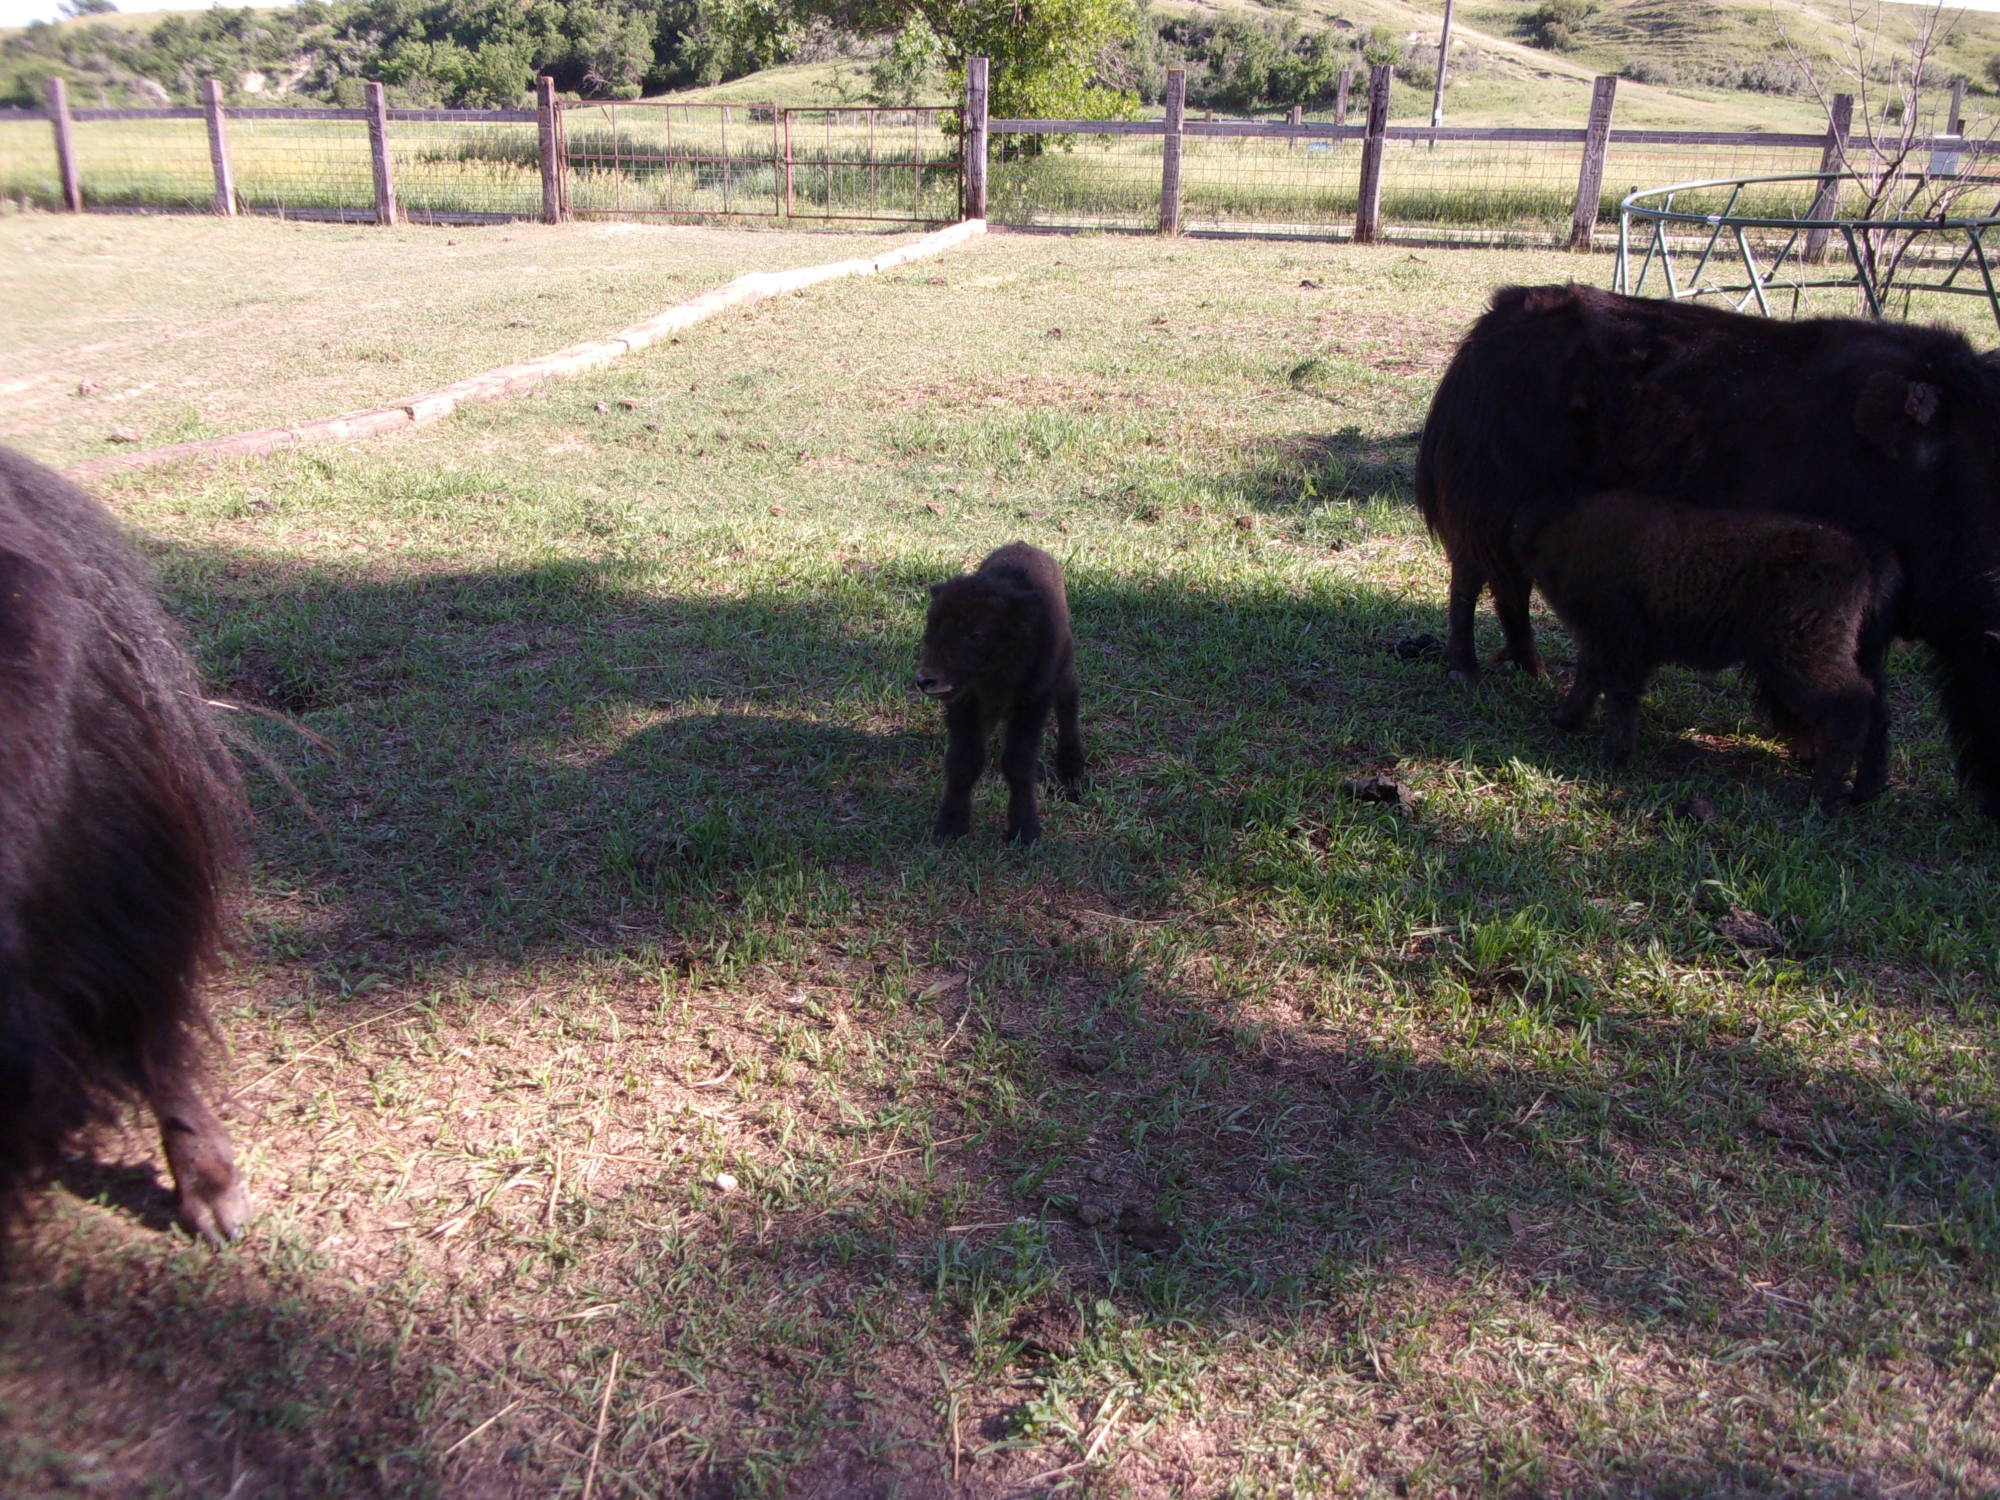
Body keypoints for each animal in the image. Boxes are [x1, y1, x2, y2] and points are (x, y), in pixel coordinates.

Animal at [1416, 283, 2000, 812]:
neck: (1941, 473)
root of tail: (1497, 317)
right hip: (1486, 508)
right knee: (1473, 580)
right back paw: (1467, 667)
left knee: (1507, 586)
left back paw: (1530, 668)